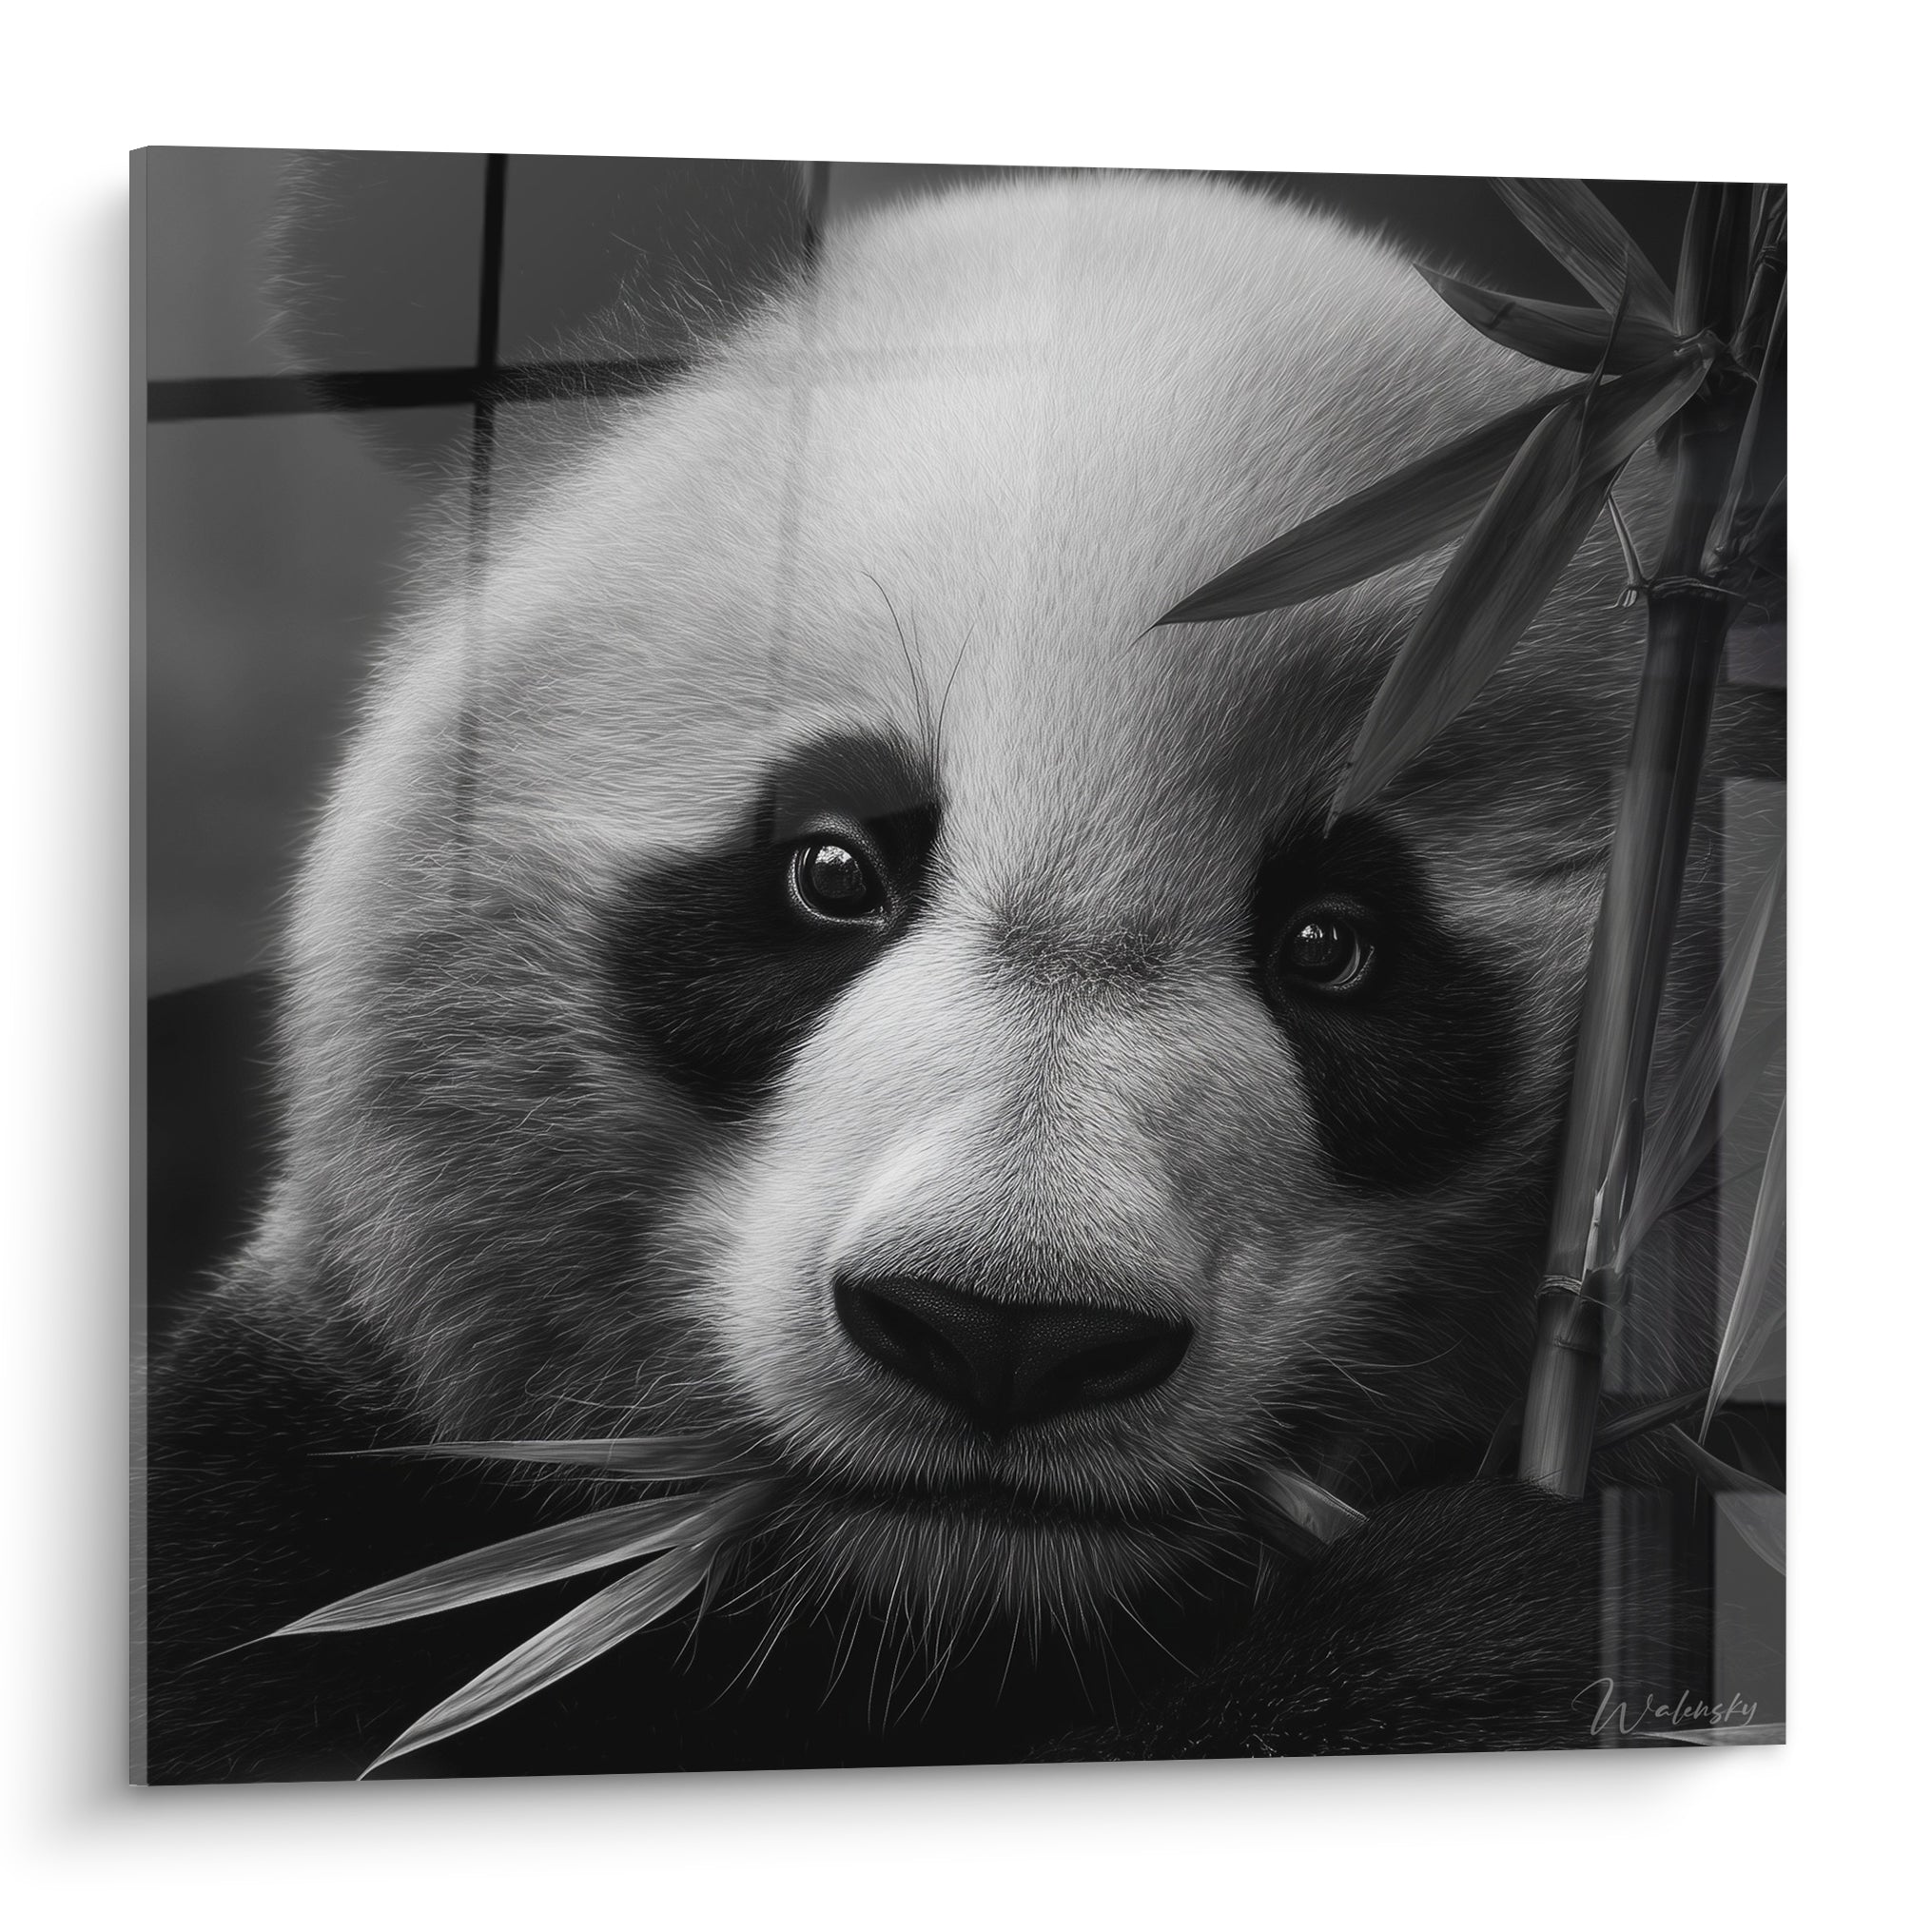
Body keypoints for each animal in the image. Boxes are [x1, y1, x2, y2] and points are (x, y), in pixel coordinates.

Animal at [142, 170, 1754, 1781]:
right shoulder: (309, 1520)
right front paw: (1485, 1621)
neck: (924, 1627)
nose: (1005, 1330)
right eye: (832, 867)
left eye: (1333, 943)